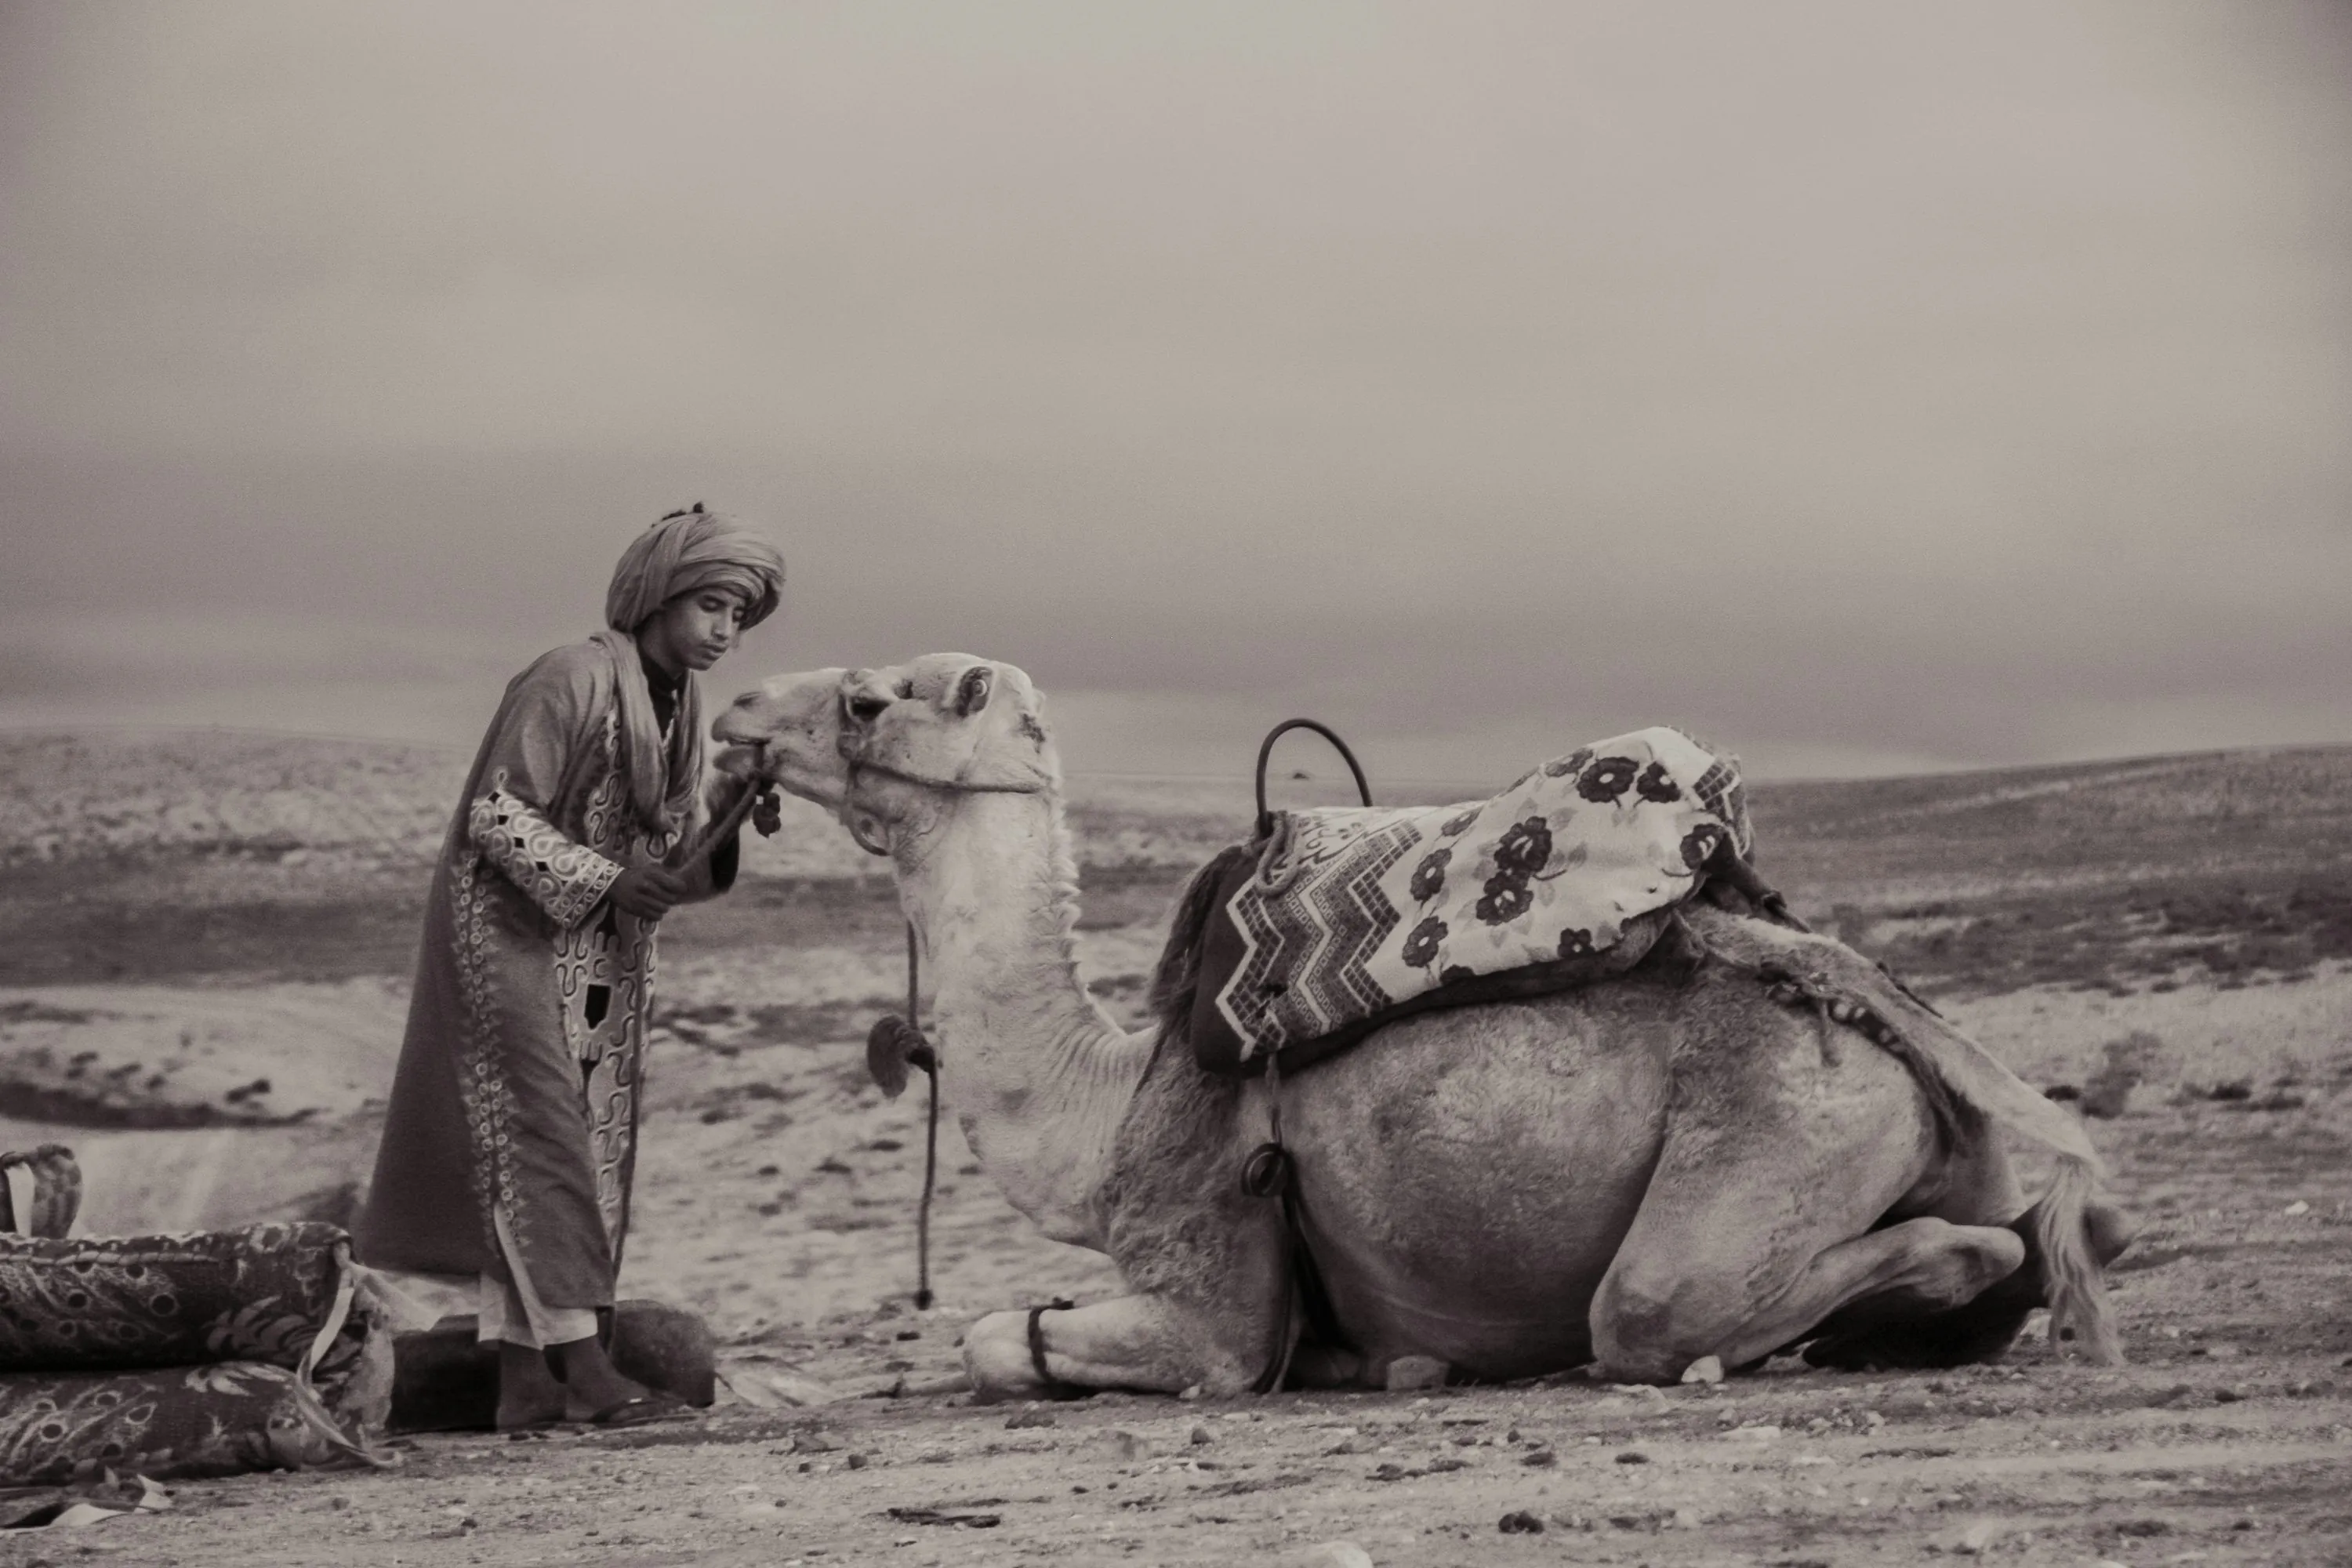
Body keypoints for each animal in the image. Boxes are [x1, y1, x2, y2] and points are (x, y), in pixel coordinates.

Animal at [712, 655, 2133, 1399]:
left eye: (869, 698)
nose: (734, 711)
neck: (1104, 1102)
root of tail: (1876, 1017)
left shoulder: (1211, 1277)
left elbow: (1005, 1337)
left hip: (1782, 1133)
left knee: (1666, 1311)